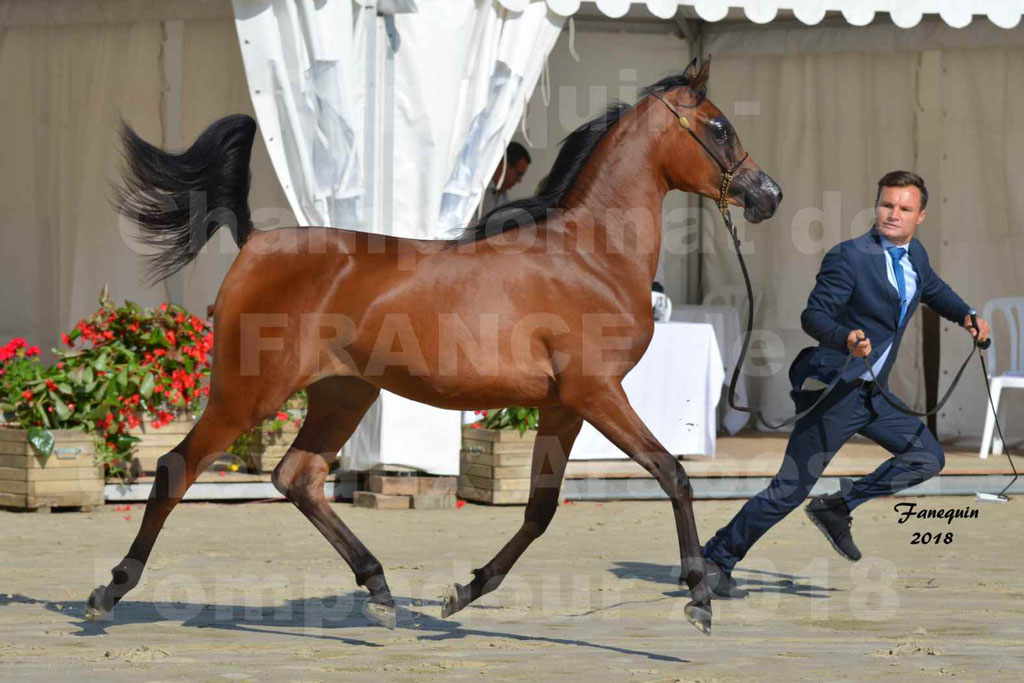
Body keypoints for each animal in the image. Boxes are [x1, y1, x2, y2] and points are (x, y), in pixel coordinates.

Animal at [88, 57, 778, 634]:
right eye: (718, 128)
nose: (767, 195)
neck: (590, 256)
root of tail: (256, 241)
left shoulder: (563, 405)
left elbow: (540, 510)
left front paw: (464, 592)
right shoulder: (597, 393)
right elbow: (674, 474)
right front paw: (699, 596)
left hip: (344, 393)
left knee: (298, 477)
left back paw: (379, 587)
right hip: (248, 393)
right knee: (177, 469)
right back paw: (109, 591)